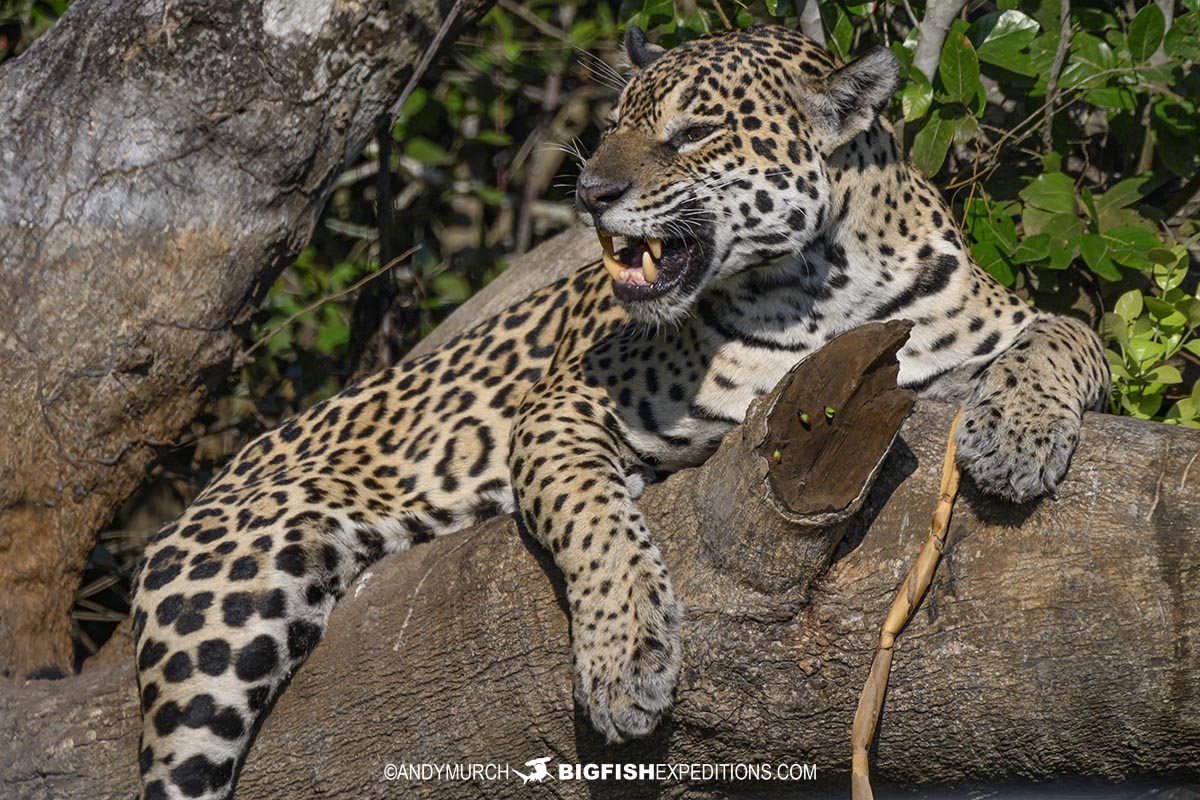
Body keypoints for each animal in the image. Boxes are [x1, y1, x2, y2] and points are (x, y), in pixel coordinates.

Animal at [131, 25, 1110, 799]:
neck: (829, 285)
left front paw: (1016, 435)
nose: (591, 194)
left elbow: (1071, 334)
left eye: (695, 129)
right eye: (614, 127)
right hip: (213, 615)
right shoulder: (561, 409)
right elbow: (595, 523)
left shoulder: (993, 323)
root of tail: (218, 477)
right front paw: (625, 661)